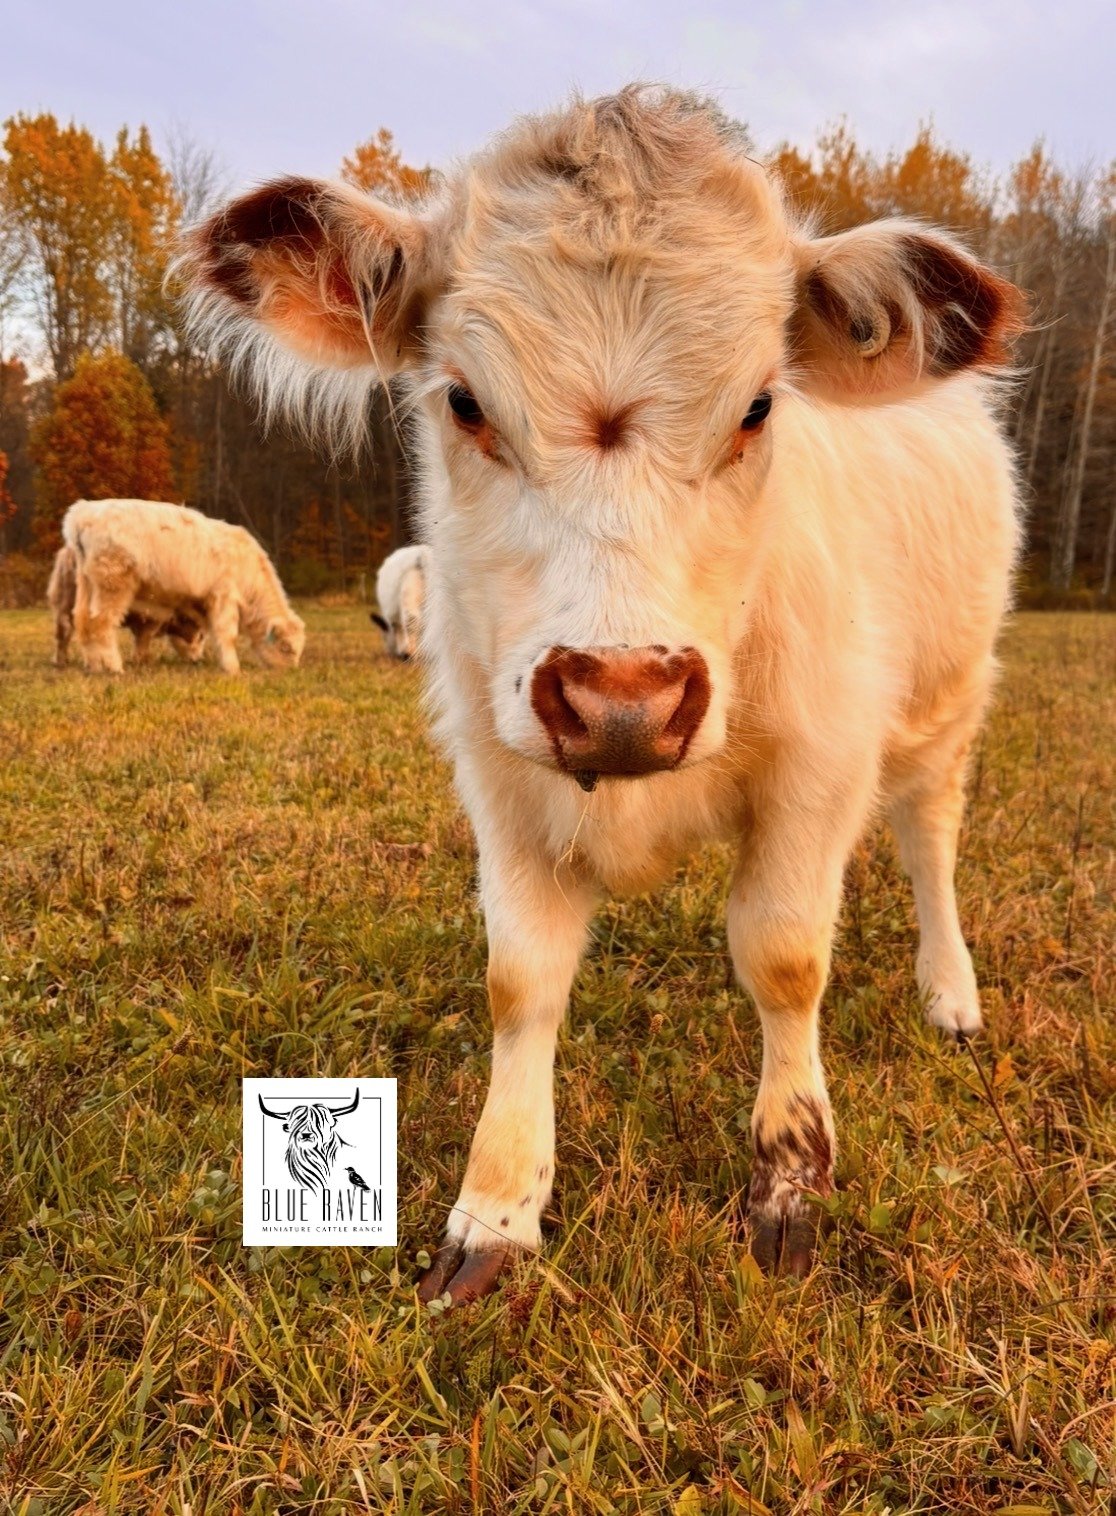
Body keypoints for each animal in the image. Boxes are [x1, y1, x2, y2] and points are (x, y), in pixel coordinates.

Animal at [47, 544, 208, 669]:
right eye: (200, 636)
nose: (198, 661)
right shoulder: (150, 617)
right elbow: (144, 638)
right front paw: (141, 661)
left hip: (64, 602)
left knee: (63, 632)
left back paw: (61, 661)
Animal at [178, 86, 1025, 1301]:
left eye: (758, 406)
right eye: (465, 401)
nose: (625, 697)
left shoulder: (819, 765)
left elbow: (785, 956)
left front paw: (789, 1177)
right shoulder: (501, 773)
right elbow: (520, 981)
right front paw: (495, 1209)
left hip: (949, 702)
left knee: (929, 840)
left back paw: (949, 991)